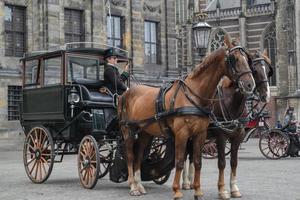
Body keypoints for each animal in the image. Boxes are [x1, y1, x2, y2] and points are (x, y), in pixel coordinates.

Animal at [182, 49, 274, 199]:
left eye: (268, 70)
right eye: (254, 70)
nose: (266, 95)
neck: (232, 102)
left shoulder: (237, 137)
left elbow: (234, 162)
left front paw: (234, 189)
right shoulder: (221, 137)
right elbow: (222, 163)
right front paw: (222, 190)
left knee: (191, 155)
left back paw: (189, 182)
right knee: (185, 155)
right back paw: (185, 182)